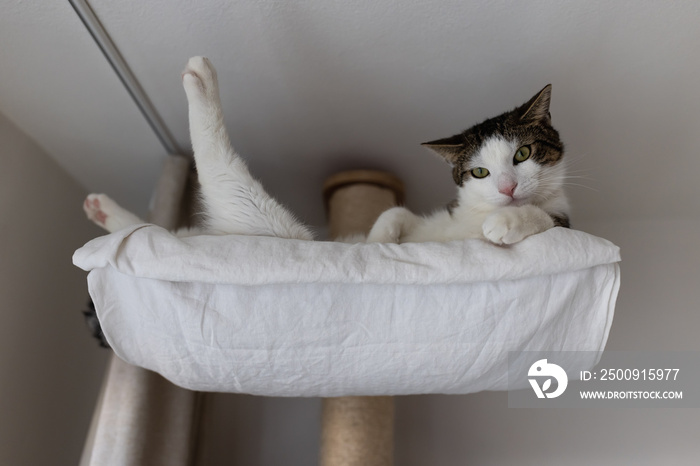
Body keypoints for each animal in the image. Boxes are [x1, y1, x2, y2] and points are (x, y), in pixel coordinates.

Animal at [366, 84, 568, 246]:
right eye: (479, 171)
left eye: (522, 153)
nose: (508, 188)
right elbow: (395, 211)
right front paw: (375, 242)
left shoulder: (562, 223)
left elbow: (553, 222)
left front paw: (508, 218)